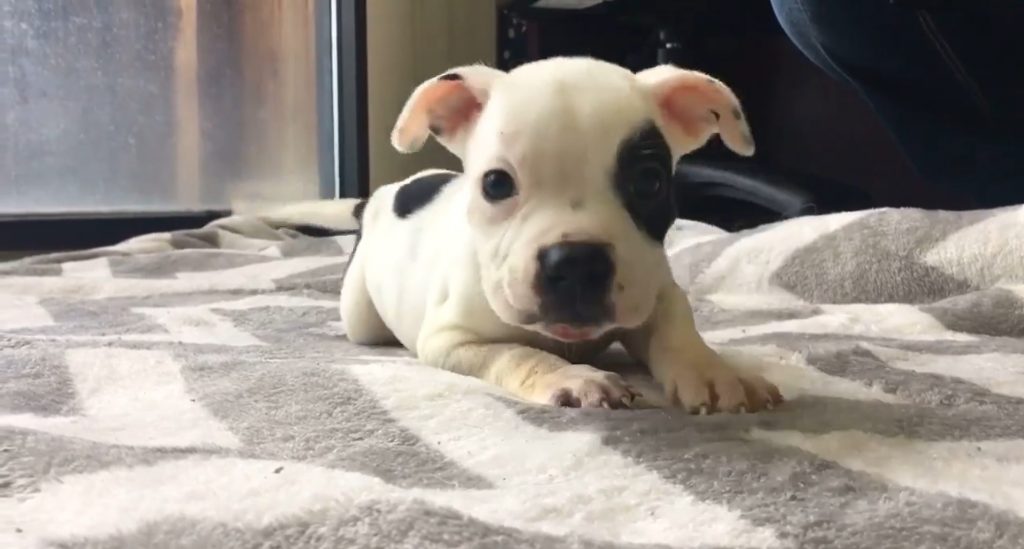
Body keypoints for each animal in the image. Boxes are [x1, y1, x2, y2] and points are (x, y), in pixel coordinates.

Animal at [260, 57, 778, 413]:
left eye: (649, 182)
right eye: (495, 184)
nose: (577, 262)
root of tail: (383, 194)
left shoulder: (652, 288)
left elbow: (676, 324)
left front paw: (714, 371)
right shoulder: (452, 340)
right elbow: (514, 353)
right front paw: (573, 378)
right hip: (361, 315)